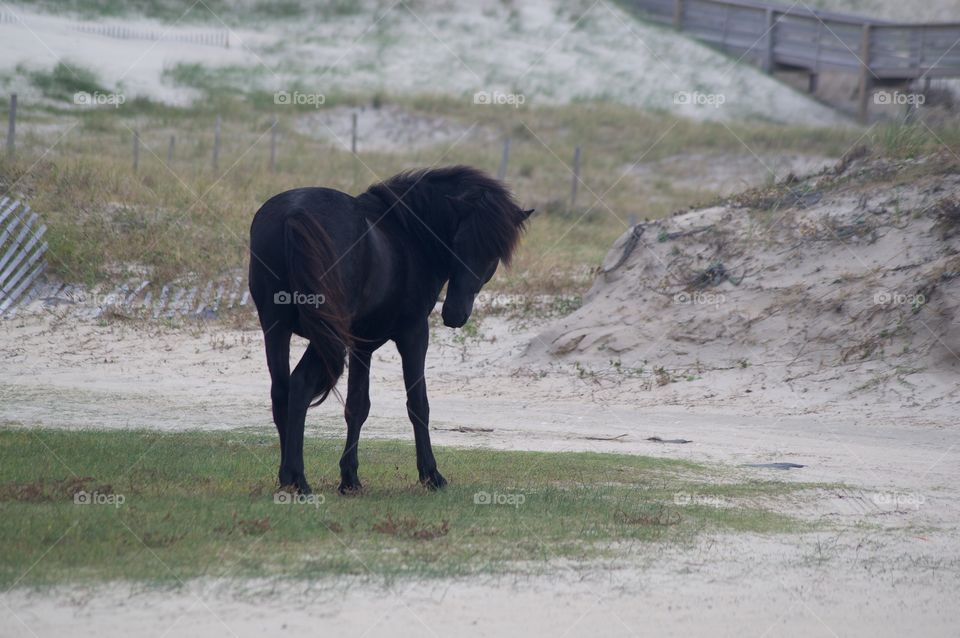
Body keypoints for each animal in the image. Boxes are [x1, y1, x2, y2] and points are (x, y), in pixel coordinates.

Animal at [249, 165, 532, 494]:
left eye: (492, 254)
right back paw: (298, 479)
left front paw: (350, 479)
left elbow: (357, 406)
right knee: (300, 384)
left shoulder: (362, 345)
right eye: (459, 243)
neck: (408, 233)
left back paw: (287, 478)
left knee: (281, 390)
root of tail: (295, 214)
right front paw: (431, 475)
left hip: (275, 328)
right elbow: (418, 404)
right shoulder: (414, 334)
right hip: (325, 336)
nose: (454, 315)